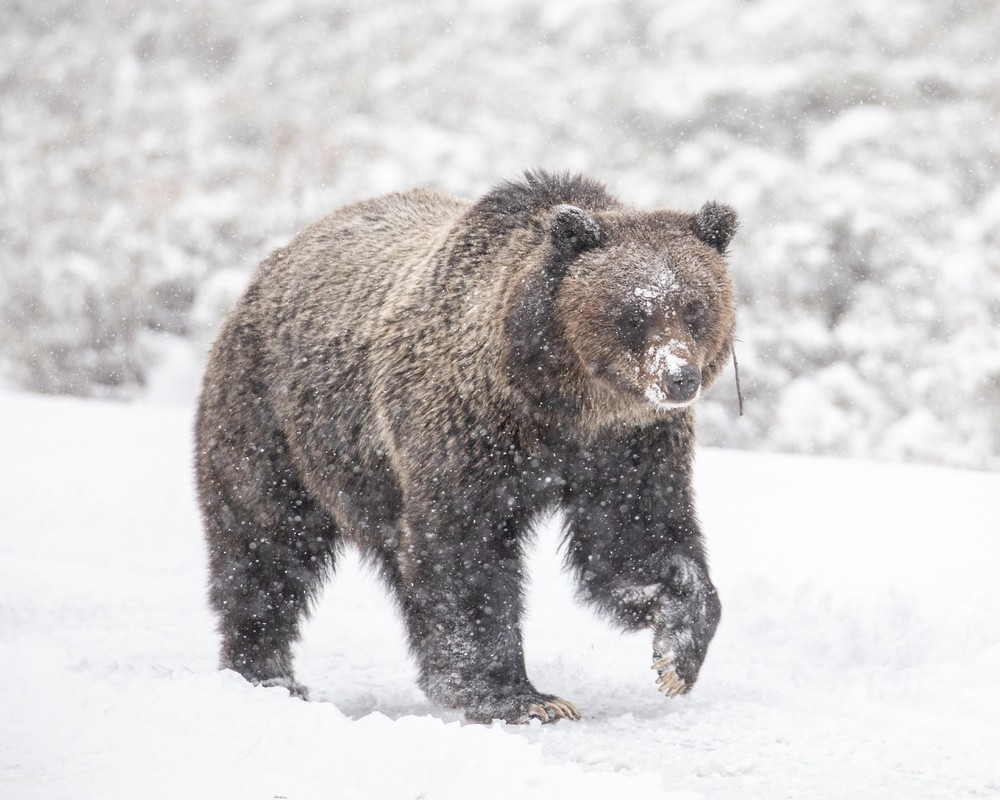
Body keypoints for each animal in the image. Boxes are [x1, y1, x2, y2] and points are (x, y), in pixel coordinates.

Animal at [194, 170, 737, 724]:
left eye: (695, 308)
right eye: (633, 313)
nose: (679, 377)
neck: (560, 408)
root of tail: (274, 261)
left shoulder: (630, 448)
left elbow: (638, 538)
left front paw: (676, 652)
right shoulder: (468, 432)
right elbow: (467, 553)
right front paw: (521, 696)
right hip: (276, 425)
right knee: (265, 547)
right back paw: (267, 674)